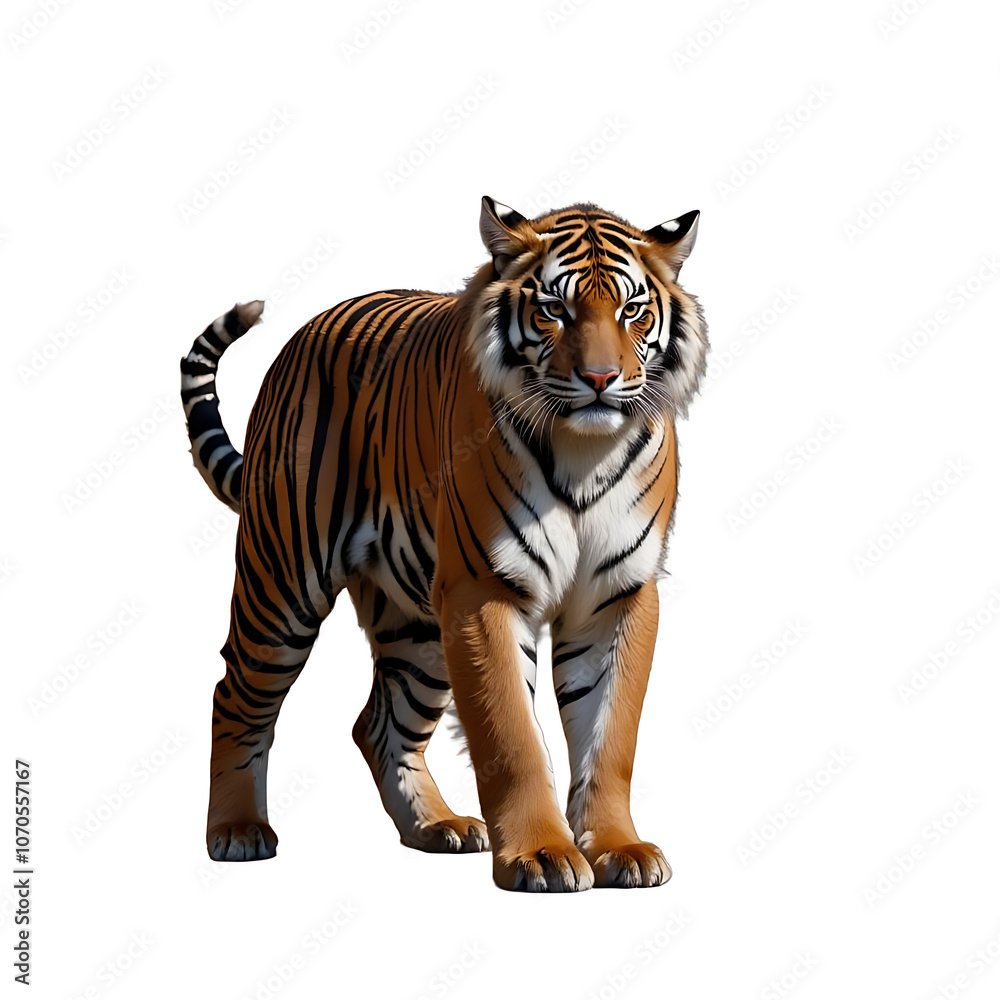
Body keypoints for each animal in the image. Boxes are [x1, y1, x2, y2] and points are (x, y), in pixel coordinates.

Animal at [180, 197, 707, 892]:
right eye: (554, 310)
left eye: (632, 311)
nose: (600, 377)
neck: (584, 450)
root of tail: (308, 329)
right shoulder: (484, 591)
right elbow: (511, 736)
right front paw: (540, 855)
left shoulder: (617, 596)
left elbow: (609, 735)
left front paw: (621, 849)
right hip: (284, 583)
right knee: (235, 695)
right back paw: (237, 831)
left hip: (420, 627)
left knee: (379, 724)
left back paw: (436, 826)